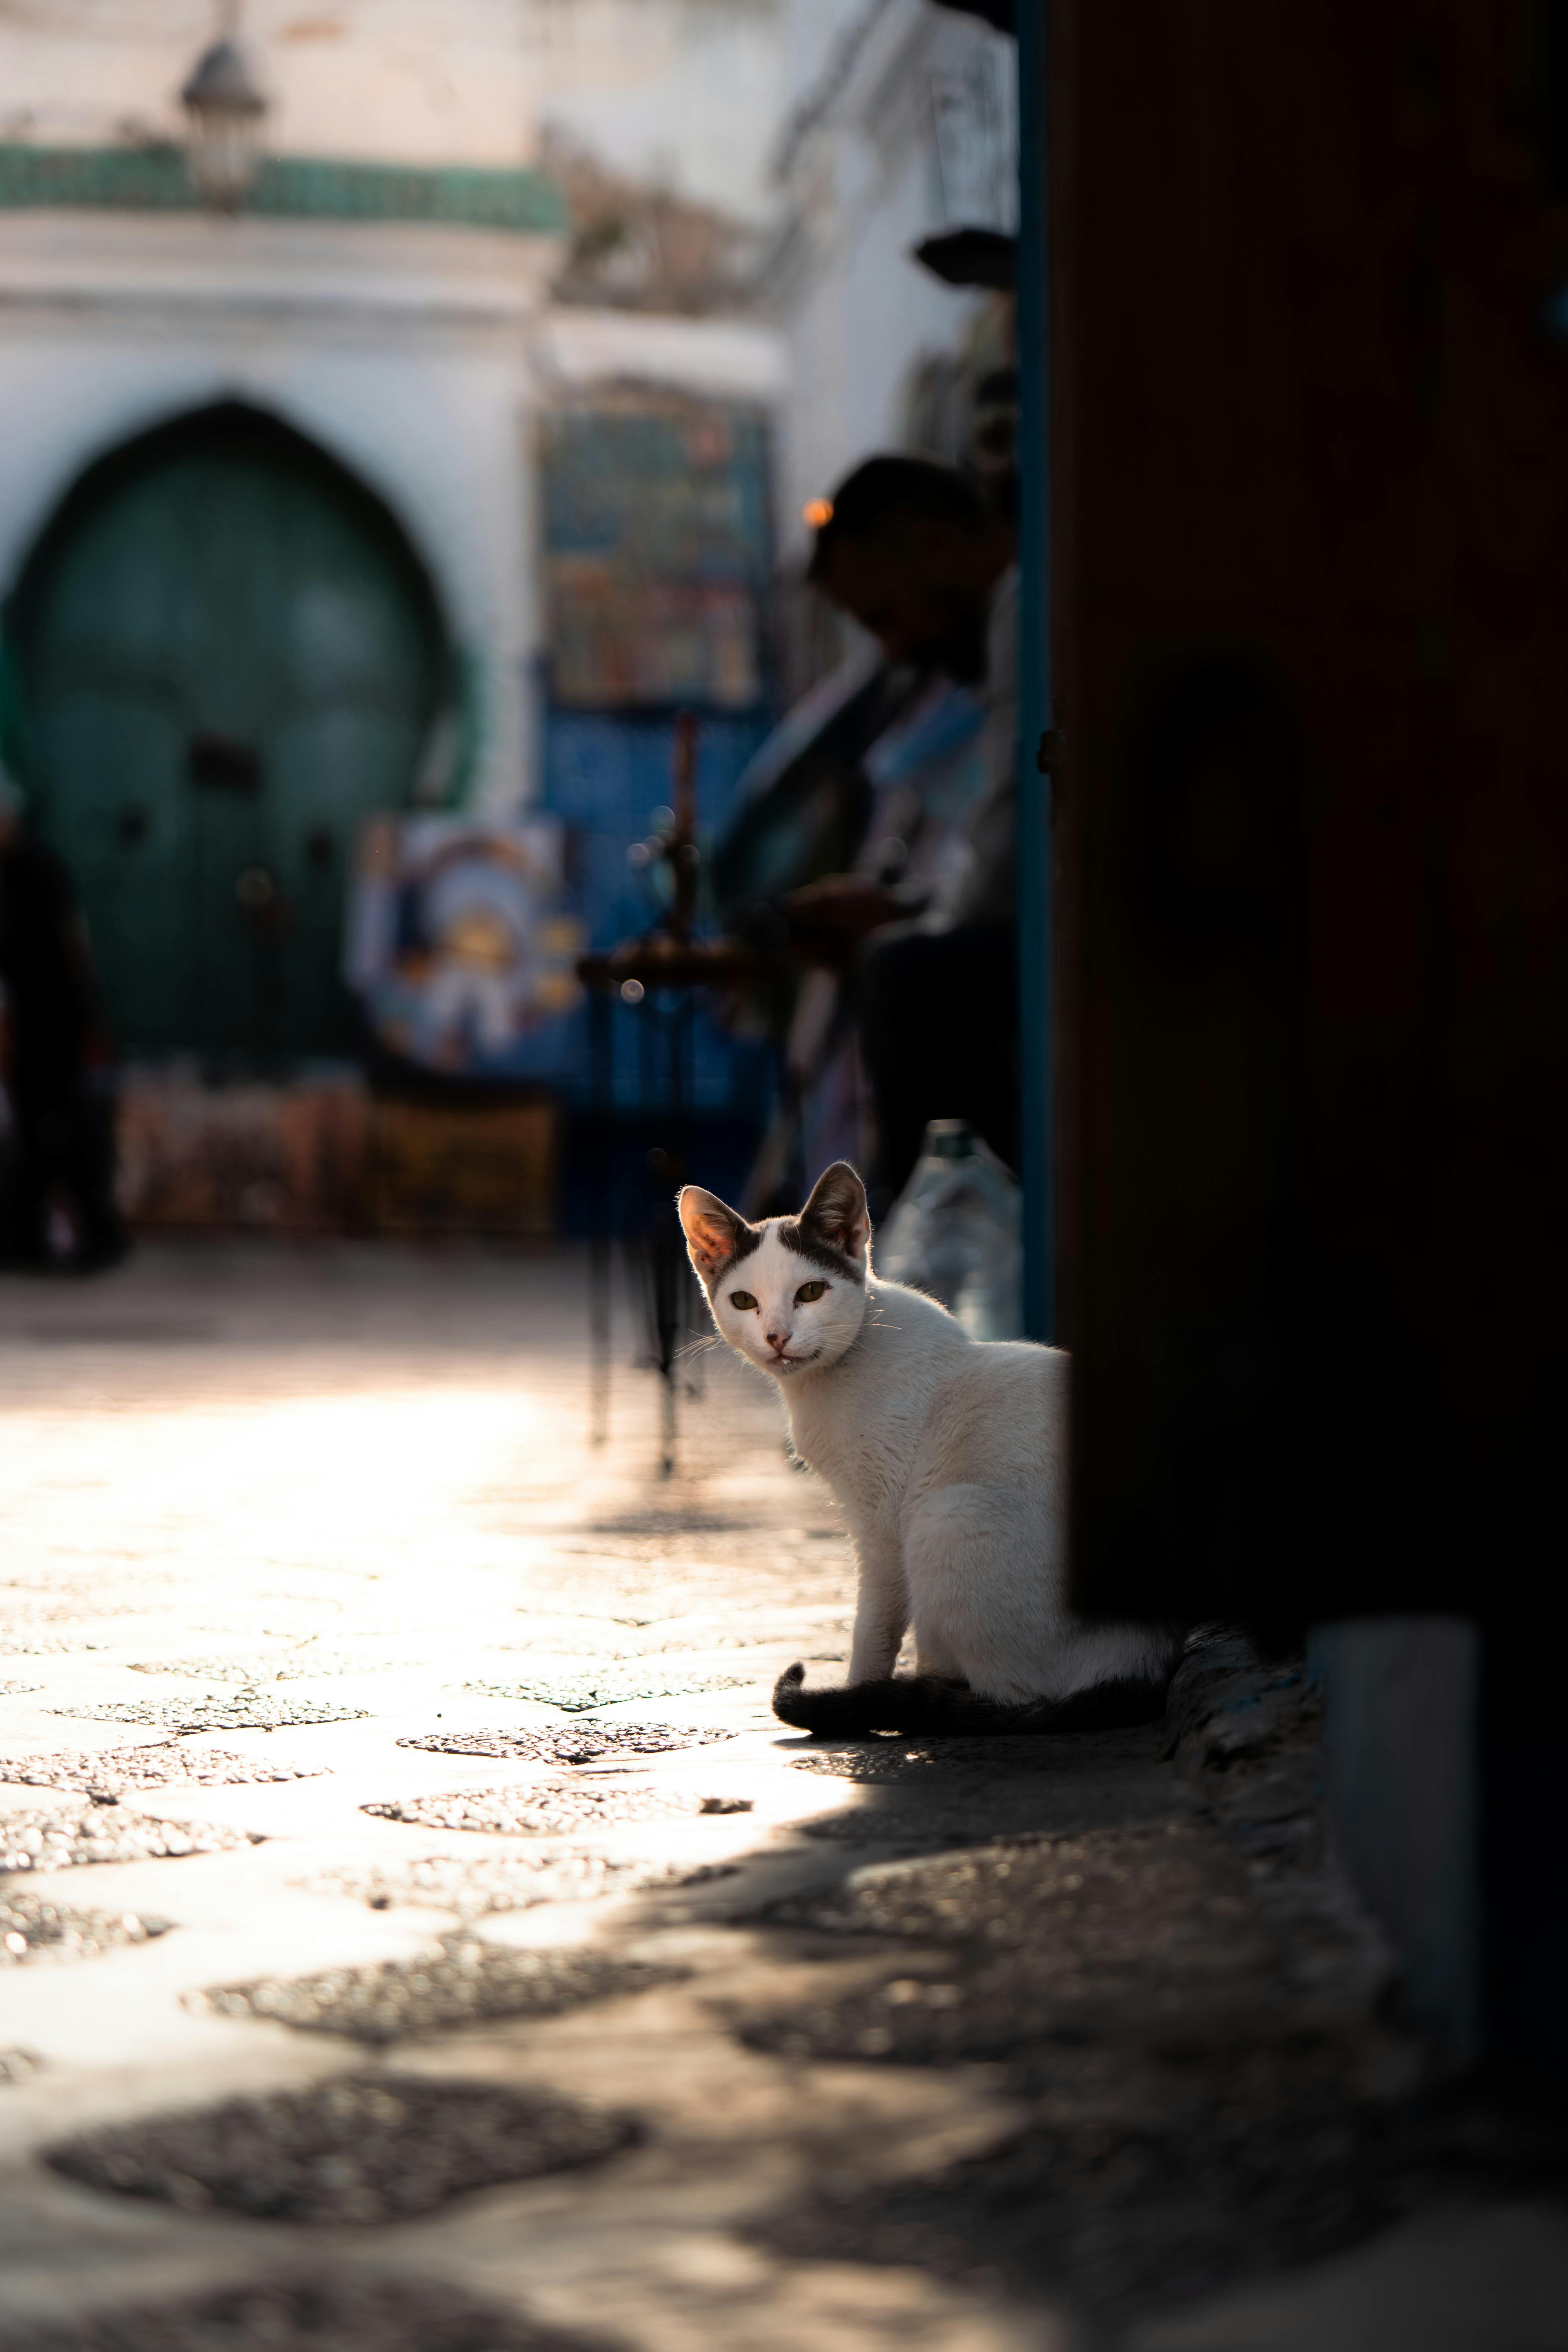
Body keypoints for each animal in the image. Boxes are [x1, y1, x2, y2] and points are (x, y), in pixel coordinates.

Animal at [677, 1162, 1175, 1740]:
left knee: (1008, 1698)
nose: (778, 1336)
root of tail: (1147, 1664)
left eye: (811, 1292)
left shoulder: (883, 1526)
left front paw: (858, 1700)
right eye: (744, 1302)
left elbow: (874, 1628)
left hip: (946, 1517)